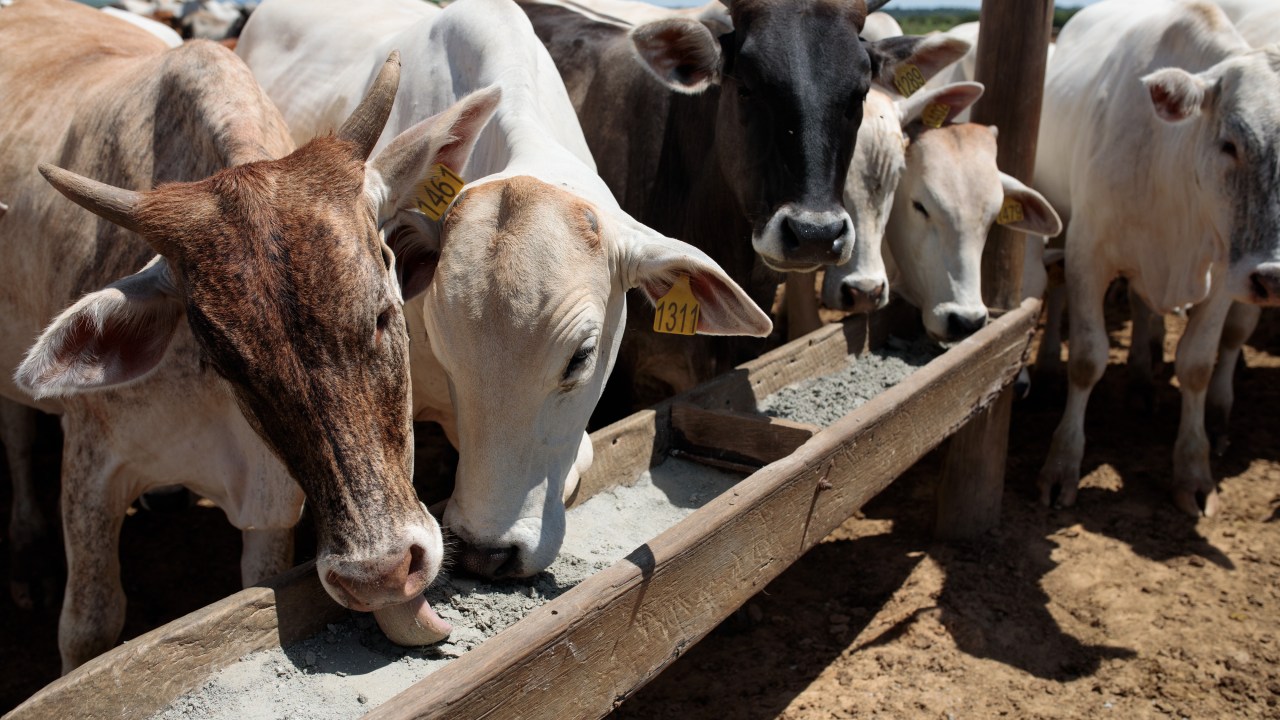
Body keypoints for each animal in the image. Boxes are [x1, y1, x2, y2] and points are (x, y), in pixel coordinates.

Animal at [1034, 1, 1280, 515]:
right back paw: (1047, 373)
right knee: (1059, 290)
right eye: (1229, 143)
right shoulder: (1088, 251)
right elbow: (1086, 358)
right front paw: (1062, 464)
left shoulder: (1226, 274)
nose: (1275, 278)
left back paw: (1144, 384)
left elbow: (1197, 364)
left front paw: (1194, 470)